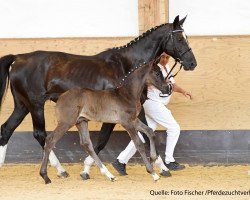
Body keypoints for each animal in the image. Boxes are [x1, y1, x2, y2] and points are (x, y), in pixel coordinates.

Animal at [0, 16, 196, 177]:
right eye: (180, 38)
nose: (192, 63)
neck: (125, 66)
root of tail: (18, 58)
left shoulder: (133, 112)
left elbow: (146, 134)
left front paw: (161, 167)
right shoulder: (114, 115)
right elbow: (102, 140)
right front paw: (89, 169)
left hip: (22, 106)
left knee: (6, 129)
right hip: (36, 105)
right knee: (41, 134)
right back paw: (60, 170)